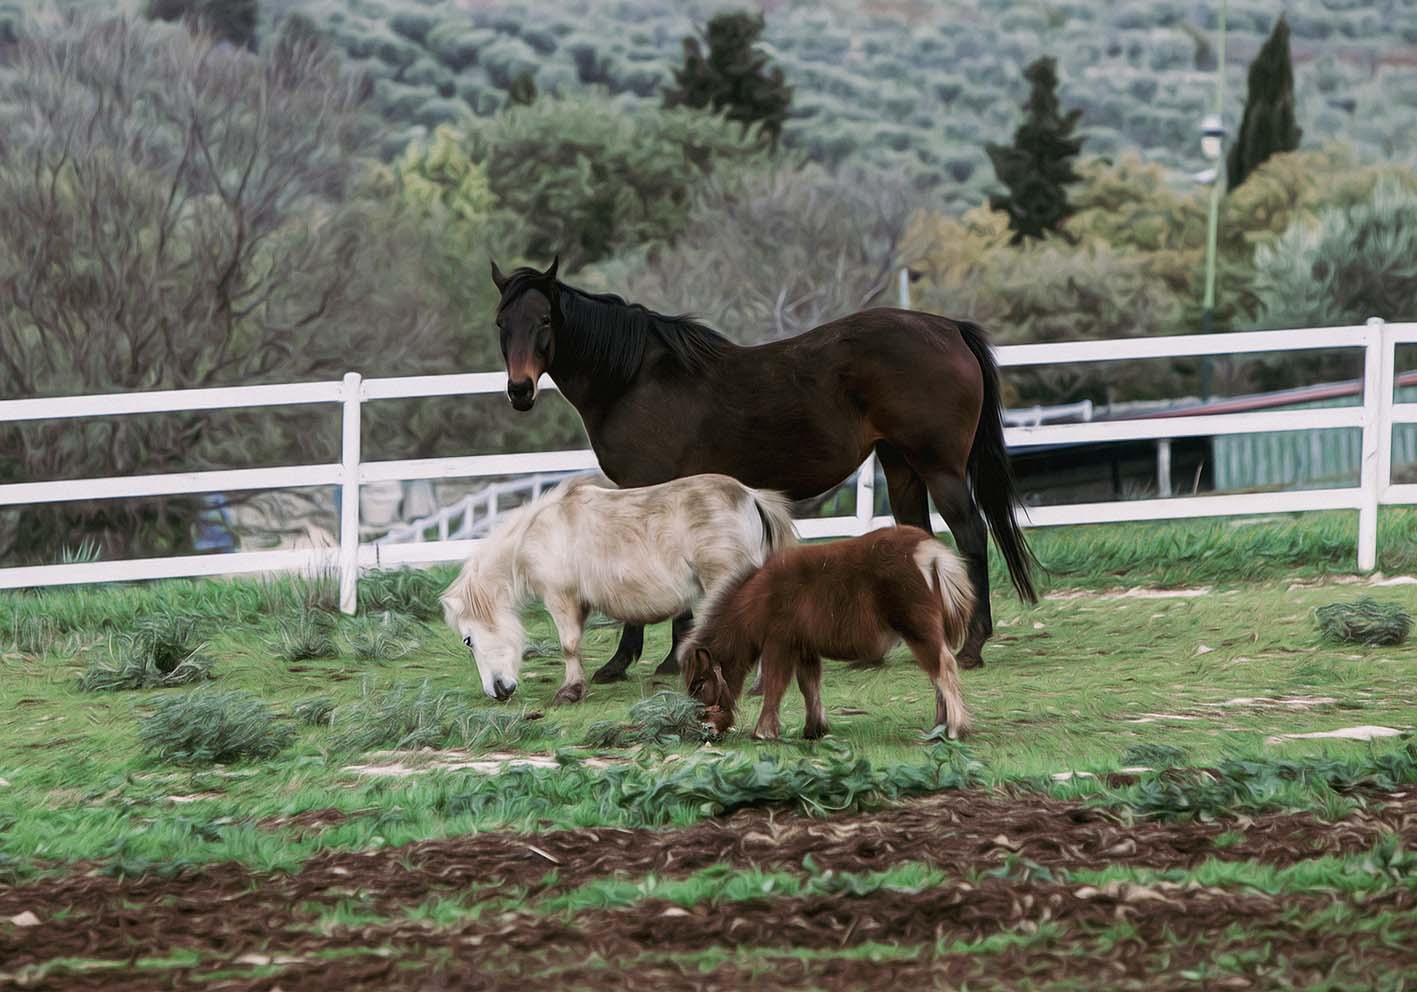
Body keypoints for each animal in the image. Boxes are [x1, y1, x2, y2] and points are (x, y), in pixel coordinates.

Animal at [442, 473, 793, 700]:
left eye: (468, 640)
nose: (497, 691)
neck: (538, 531)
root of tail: (750, 497)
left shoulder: (560, 599)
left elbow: (569, 645)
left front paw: (570, 691)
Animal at [493, 255, 1037, 677]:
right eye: (502, 323)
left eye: (545, 321)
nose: (519, 390)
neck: (633, 380)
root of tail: (949, 329)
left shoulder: (648, 488)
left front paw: (633, 660)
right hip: (901, 465)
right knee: (917, 536)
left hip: (939, 467)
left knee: (971, 534)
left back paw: (972, 646)